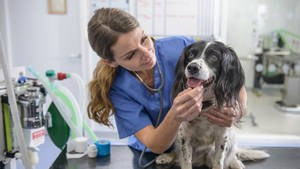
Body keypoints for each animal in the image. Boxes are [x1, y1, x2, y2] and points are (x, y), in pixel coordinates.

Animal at [156, 41, 268, 169]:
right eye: (190, 55)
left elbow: (219, 161)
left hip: (231, 137)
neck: (205, 104)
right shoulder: (184, 133)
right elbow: (186, 160)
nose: (192, 67)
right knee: (177, 151)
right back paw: (167, 156)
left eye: (214, 57)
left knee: (233, 153)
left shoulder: (222, 135)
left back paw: (236, 163)